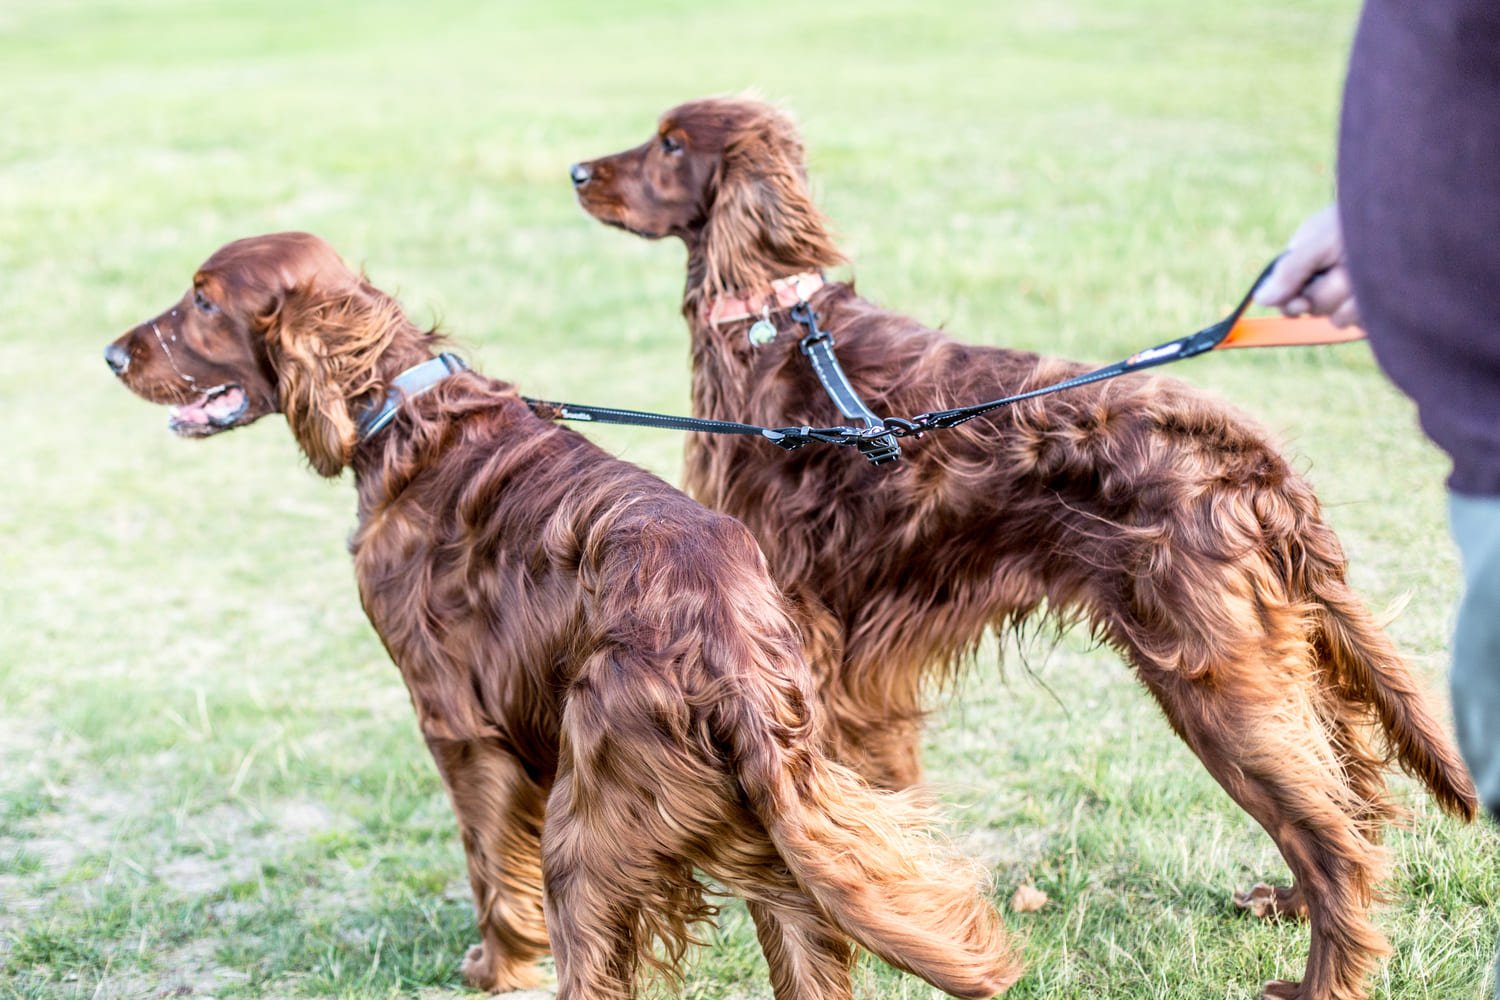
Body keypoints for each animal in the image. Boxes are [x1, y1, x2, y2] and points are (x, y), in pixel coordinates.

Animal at [102, 232, 1020, 1000]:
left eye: (203, 300)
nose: (111, 354)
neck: (404, 411)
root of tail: (726, 651)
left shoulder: (458, 728)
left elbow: (487, 869)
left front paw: (496, 966)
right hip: (768, 827)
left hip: (585, 842)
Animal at [570, 95, 1476, 1000]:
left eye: (671, 144)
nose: (578, 171)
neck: (774, 331)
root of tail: (1252, 463)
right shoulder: (855, 664)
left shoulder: (803, 632)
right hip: (1280, 659)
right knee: (1353, 797)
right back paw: (1288, 906)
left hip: (1212, 678)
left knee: (1334, 841)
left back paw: (1322, 977)